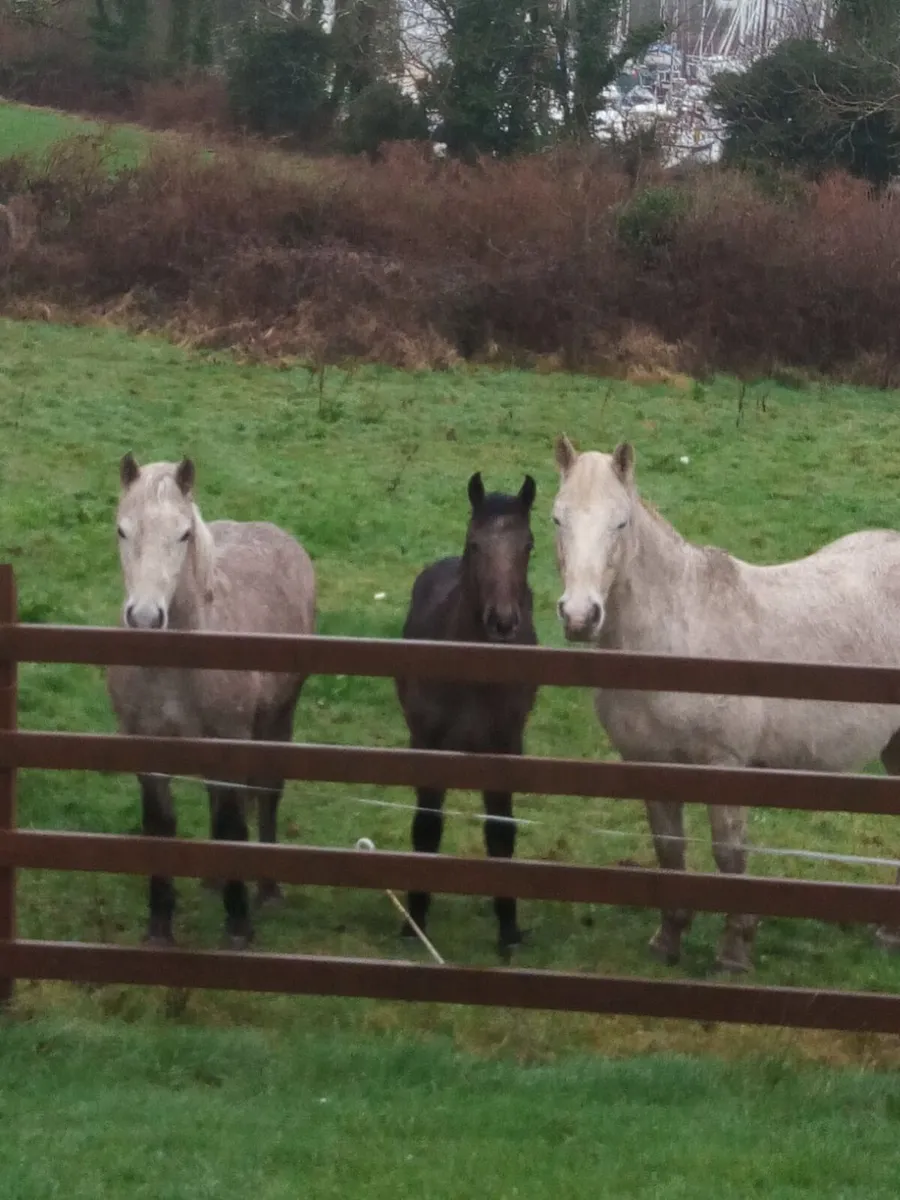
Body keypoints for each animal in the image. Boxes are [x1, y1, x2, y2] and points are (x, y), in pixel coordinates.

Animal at [106, 454, 316, 948]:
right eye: (122, 530)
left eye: (184, 534)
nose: (145, 619)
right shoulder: (146, 747)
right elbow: (160, 826)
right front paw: (159, 928)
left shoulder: (231, 742)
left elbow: (232, 824)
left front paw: (238, 928)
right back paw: (214, 881)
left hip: (279, 717)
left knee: (266, 794)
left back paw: (268, 891)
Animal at [395, 471, 539, 955]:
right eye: (475, 544)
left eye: (528, 544)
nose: (503, 621)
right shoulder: (427, 744)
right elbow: (426, 827)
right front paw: (415, 921)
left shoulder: (505, 747)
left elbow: (501, 831)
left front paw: (508, 928)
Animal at [551, 434, 900, 974]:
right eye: (557, 519)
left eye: (620, 523)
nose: (579, 616)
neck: (674, 637)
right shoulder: (649, 764)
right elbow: (669, 849)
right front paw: (669, 937)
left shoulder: (725, 765)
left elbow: (729, 854)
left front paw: (735, 950)